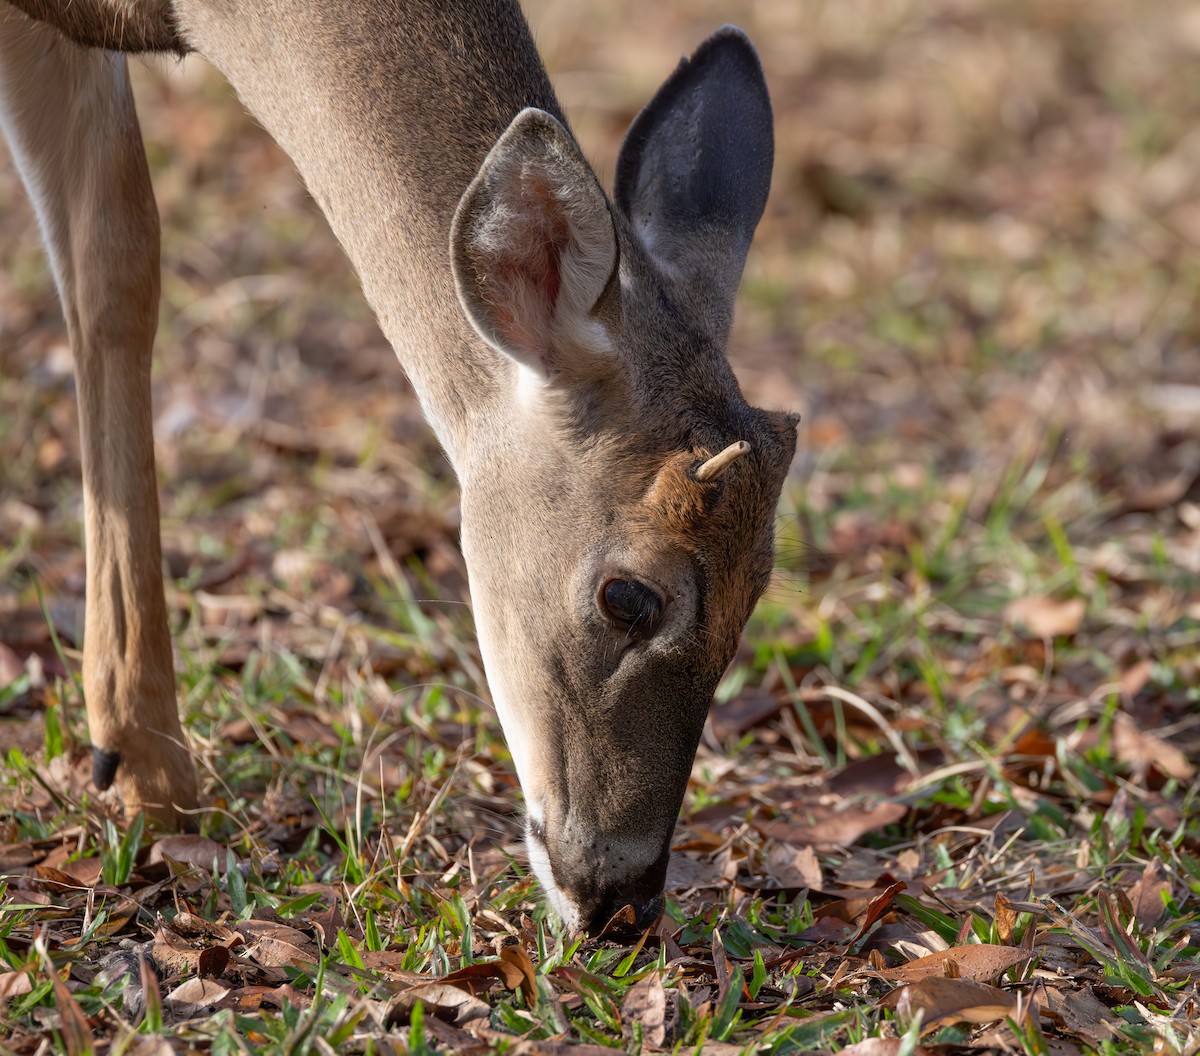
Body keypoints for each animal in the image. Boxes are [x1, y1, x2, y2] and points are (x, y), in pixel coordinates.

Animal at [0, 0, 796, 934]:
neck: (198, 19)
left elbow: (114, 264)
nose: (620, 900)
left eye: (757, 592)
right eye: (628, 596)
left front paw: (140, 769)